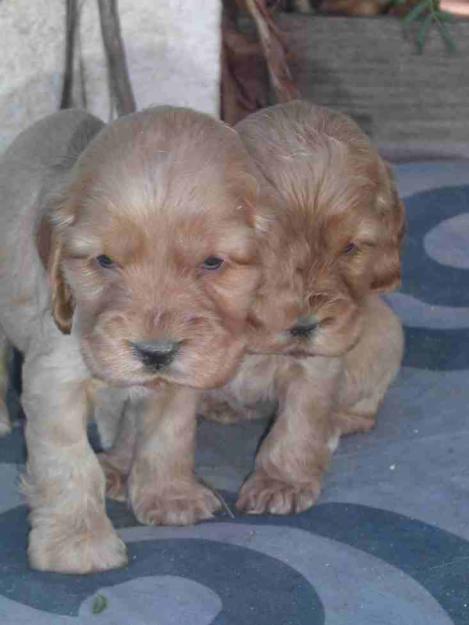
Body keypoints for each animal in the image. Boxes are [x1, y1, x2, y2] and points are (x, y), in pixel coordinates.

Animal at [0, 106, 266, 572]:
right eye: (104, 261)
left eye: (212, 263)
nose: (155, 353)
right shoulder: (53, 380)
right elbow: (69, 462)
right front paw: (77, 543)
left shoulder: (185, 375)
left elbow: (168, 434)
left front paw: (169, 497)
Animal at [200, 101, 402, 512]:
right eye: (268, 248)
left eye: (350, 248)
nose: (306, 326)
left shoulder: (317, 367)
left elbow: (299, 423)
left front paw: (281, 483)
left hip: (387, 334)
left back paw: (339, 423)